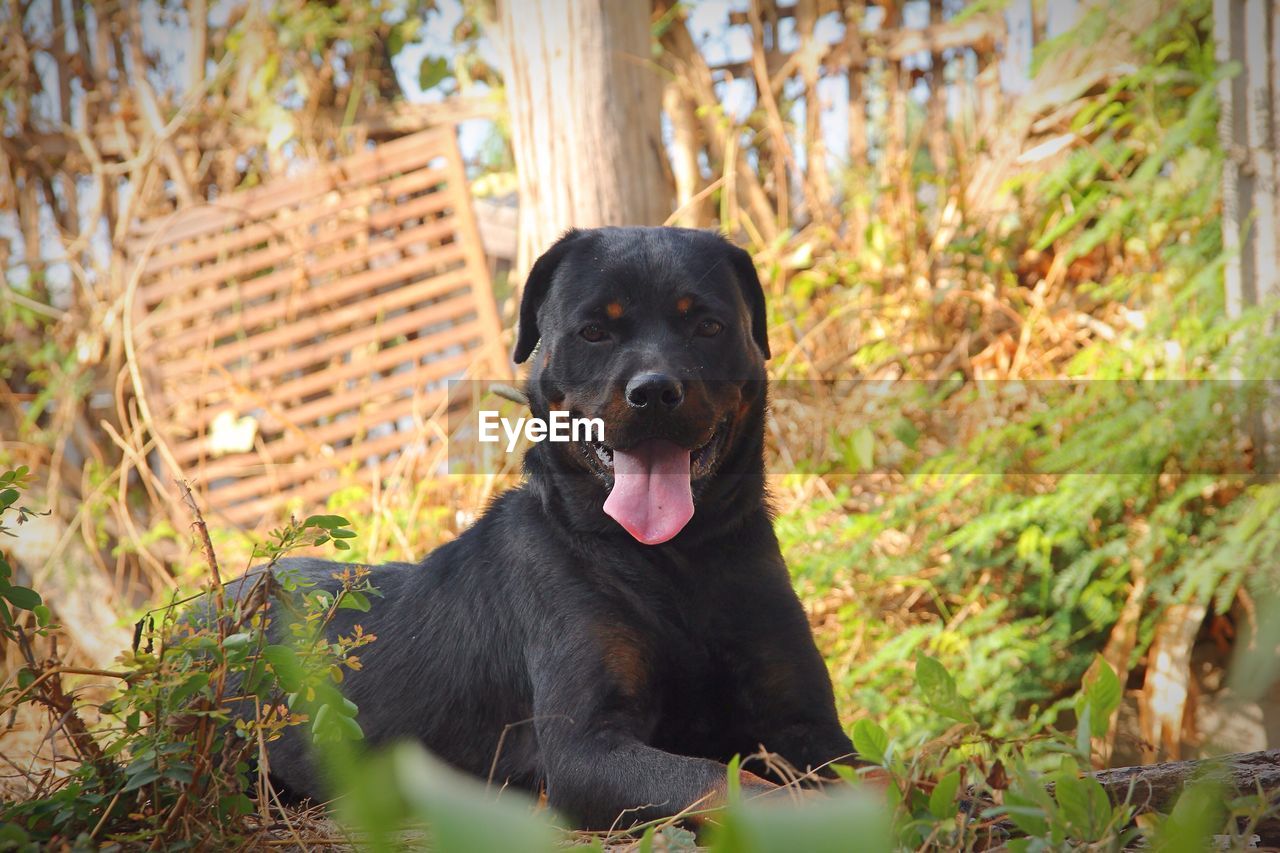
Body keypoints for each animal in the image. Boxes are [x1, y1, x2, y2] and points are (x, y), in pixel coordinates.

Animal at [230, 224, 855, 824]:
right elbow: (728, 783)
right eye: (594, 332)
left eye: (707, 325)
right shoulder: (585, 749)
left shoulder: (808, 723)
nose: (654, 391)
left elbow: (862, 775)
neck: (674, 558)